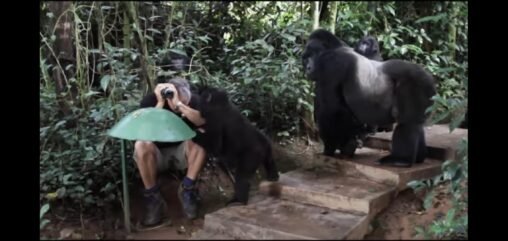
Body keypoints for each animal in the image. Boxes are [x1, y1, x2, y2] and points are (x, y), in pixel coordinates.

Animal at [302, 29, 436, 167]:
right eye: (305, 59)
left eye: (311, 56)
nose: (308, 68)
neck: (333, 48)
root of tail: (429, 78)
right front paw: (350, 142)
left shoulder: (330, 66)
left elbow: (330, 111)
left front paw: (330, 148)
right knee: (415, 123)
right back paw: (419, 157)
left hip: (417, 83)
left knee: (407, 123)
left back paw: (401, 160)